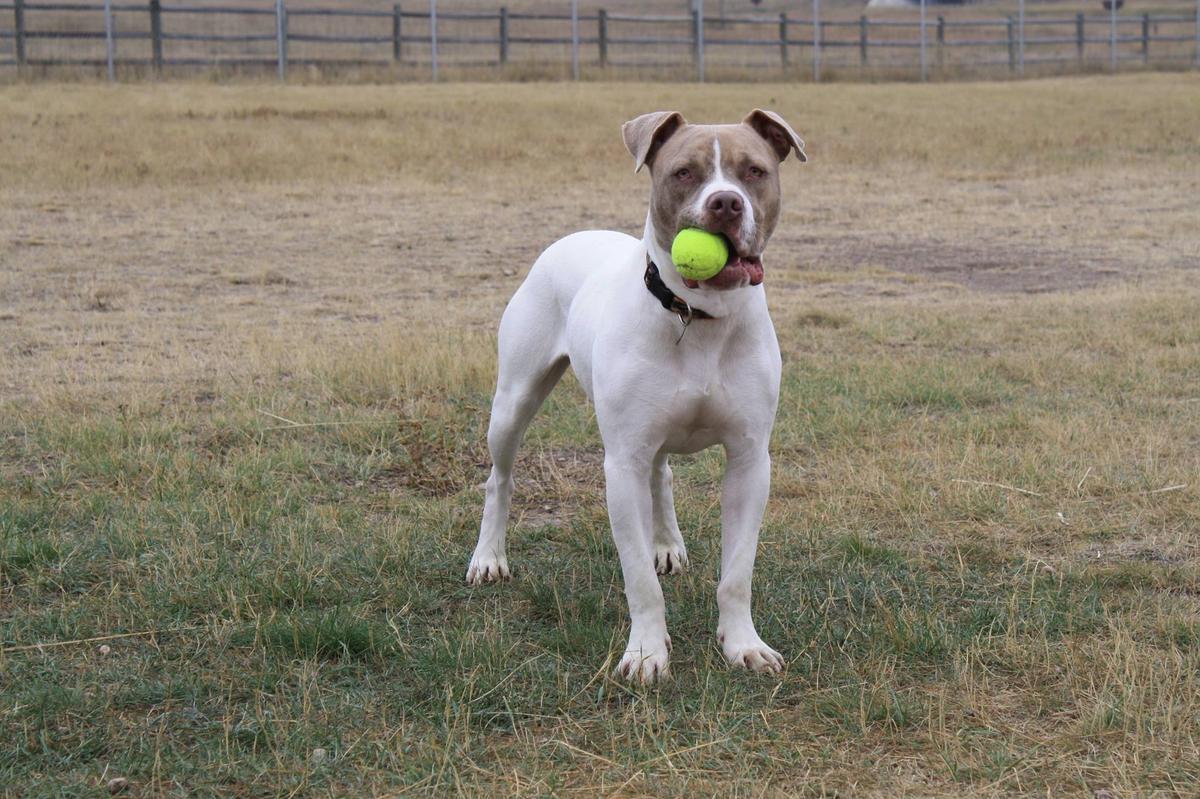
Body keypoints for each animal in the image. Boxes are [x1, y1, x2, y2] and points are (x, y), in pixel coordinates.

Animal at [465, 107, 806, 676]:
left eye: (754, 171)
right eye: (683, 173)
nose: (726, 202)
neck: (698, 318)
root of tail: (575, 235)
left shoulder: (749, 459)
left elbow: (737, 573)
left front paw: (743, 644)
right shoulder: (622, 463)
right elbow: (638, 580)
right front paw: (647, 653)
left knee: (661, 475)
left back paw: (666, 544)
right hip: (514, 401)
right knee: (500, 479)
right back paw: (489, 557)